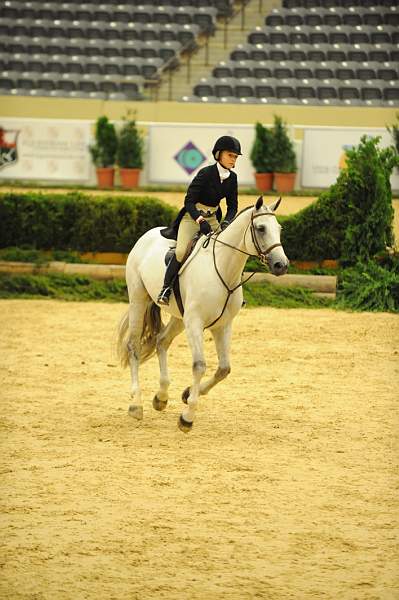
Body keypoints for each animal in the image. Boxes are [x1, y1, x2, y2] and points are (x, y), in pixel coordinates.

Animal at [117, 197, 290, 432]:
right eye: (261, 228)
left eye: (279, 229)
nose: (281, 265)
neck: (224, 269)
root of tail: (146, 236)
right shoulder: (195, 322)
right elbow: (199, 366)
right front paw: (187, 418)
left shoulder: (222, 325)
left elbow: (224, 369)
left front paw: (187, 393)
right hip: (139, 300)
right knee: (134, 346)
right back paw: (136, 405)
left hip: (179, 317)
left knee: (161, 341)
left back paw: (161, 397)